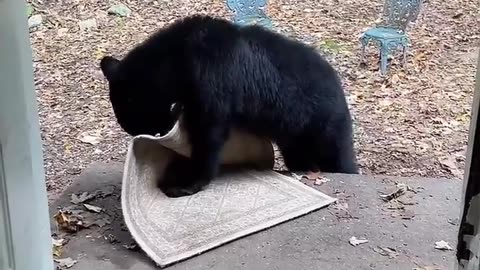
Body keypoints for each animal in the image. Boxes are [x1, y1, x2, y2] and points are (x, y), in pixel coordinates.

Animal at [100, 13, 356, 197]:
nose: (134, 132)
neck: (178, 61)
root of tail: (340, 87)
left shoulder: (213, 78)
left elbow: (208, 135)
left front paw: (185, 182)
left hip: (323, 126)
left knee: (338, 156)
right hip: (294, 137)